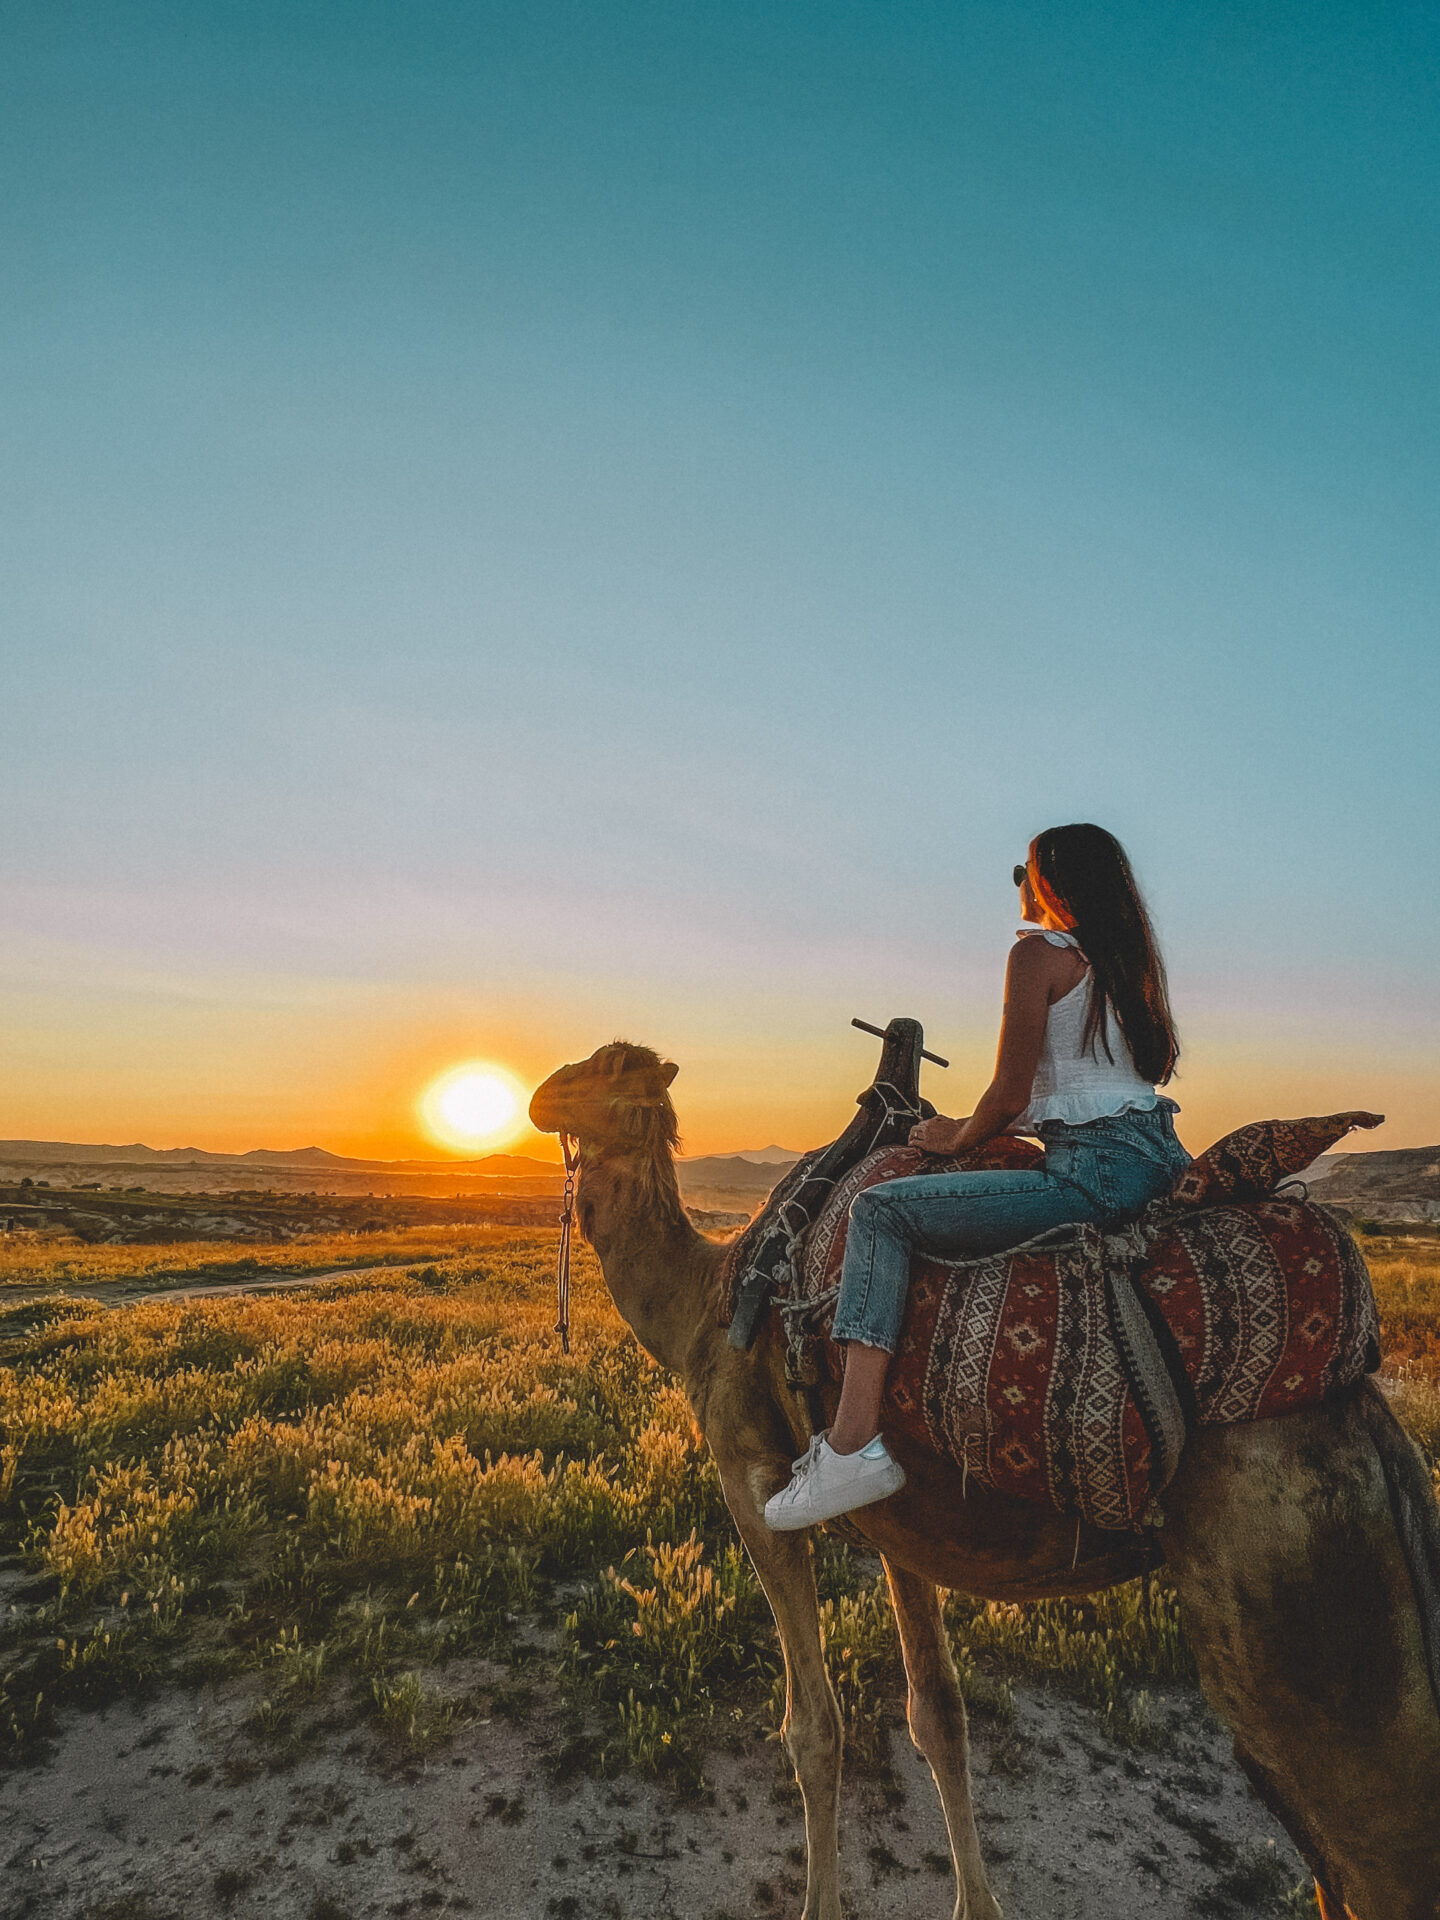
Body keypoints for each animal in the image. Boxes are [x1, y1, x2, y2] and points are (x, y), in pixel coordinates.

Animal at [537, 1052, 1440, 1920]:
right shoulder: (901, 1530)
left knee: (1379, 1847)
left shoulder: (750, 1482)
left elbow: (815, 1729)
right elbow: (938, 1713)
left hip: (1293, 1588)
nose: (540, 1095)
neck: (710, 1300)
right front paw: (977, 1904)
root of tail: (1367, 1417)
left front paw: (821, 1904)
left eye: (598, 1070)